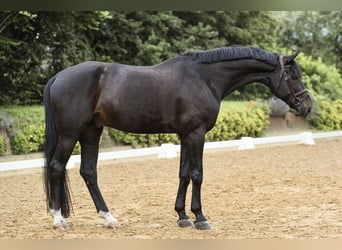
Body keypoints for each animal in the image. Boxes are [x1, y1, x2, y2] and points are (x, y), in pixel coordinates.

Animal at [43, 46, 312, 230]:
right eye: (293, 76)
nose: (307, 105)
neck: (204, 78)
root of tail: (58, 77)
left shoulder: (185, 135)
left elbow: (183, 174)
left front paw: (182, 216)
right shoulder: (196, 134)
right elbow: (197, 174)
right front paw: (200, 218)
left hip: (91, 133)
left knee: (88, 172)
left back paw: (108, 218)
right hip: (70, 134)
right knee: (56, 167)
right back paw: (58, 219)